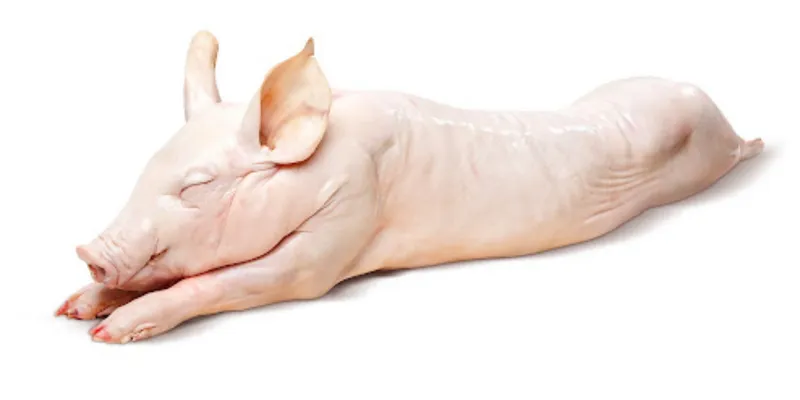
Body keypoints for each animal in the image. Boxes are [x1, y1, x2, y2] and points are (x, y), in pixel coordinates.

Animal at [55, 31, 765, 344]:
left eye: (197, 186)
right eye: (145, 167)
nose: (89, 249)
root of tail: (709, 101)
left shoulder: (341, 226)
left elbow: (237, 280)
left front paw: (108, 334)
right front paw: (74, 309)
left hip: (712, 156)